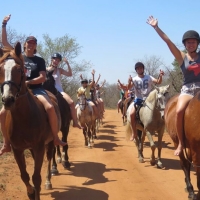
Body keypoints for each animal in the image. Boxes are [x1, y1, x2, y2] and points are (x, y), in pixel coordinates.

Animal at [0, 43, 59, 200]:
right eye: (0, 69)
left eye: (19, 69)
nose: (8, 100)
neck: (24, 117)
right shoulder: (17, 150)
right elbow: (25, 176)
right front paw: (31, 193)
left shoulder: (39, 147)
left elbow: (36, 177)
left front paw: (36, 191)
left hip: (50, 142)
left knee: (49, 158)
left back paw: (48, 181)